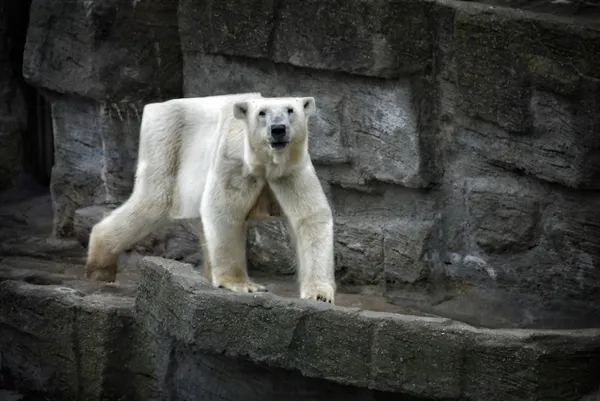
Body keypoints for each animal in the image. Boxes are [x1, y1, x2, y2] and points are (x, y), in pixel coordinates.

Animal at [85, 92, 338, 302]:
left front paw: (319, 293)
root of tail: (155, 107)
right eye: (262, 113)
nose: (278, 129)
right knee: (152, 202)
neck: (265, 163)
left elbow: (310, 217)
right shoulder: (234, 161)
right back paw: (100, 268)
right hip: (166, 142)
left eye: (290, 110)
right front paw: (244, 285)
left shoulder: (291, 170)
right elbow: (223, 211)